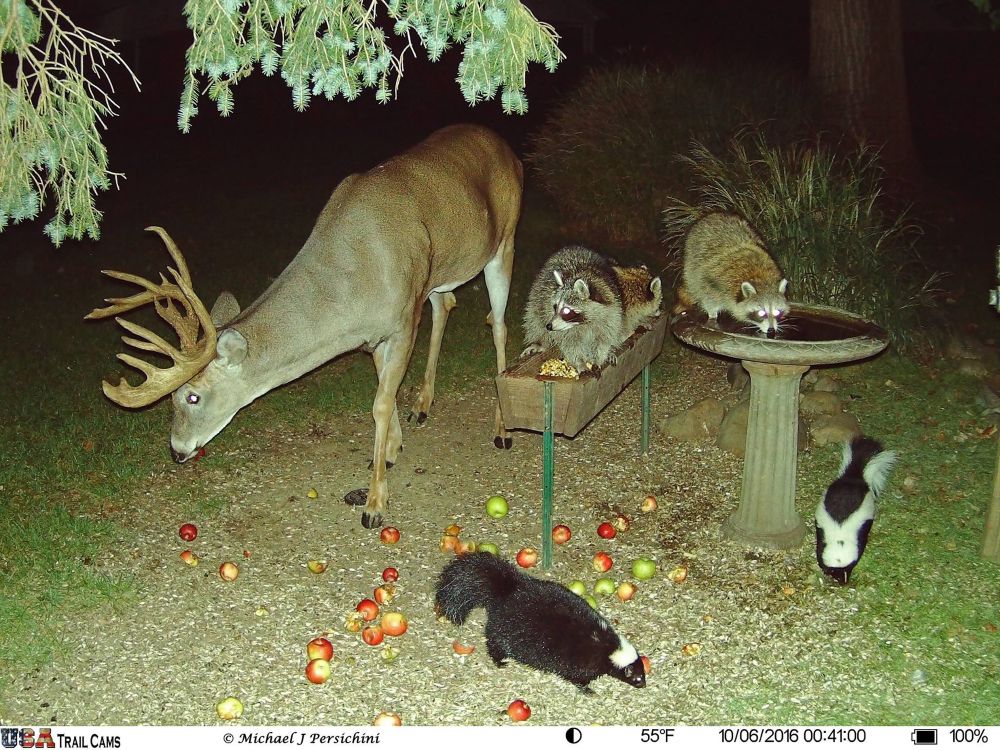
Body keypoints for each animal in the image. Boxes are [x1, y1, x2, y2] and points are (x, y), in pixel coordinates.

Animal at [86, 124, 523, 529]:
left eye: (191, 397)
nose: (176, 450)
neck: (350, 289)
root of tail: (505, 146)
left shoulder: (402, 319)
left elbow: (380, 403)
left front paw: (374, 505)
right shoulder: (375, 334)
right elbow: (384, 388)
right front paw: (389, 451)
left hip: (504, 240)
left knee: (499, 324)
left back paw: (502, 430)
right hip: (441, 270)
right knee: (447, 303)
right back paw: (423, 405)